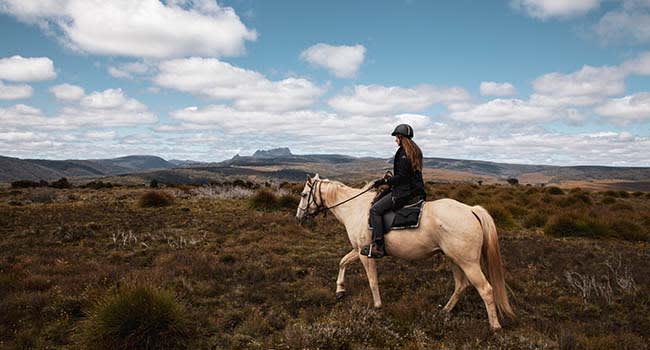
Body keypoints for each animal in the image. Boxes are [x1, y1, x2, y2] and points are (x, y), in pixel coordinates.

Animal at [294, 174, 512, 330]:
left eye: (304, 195)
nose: (299, 217)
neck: (354, 208)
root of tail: (471, 210)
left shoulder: (366, 254)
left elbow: (372, 280)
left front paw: (377, 306)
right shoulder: (360, 250)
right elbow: (342, 262)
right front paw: (340, 290)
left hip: (468, 263)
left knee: (486, 289)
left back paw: (495, 327)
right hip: (454, 259)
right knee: (461, 285)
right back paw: (445, 311)